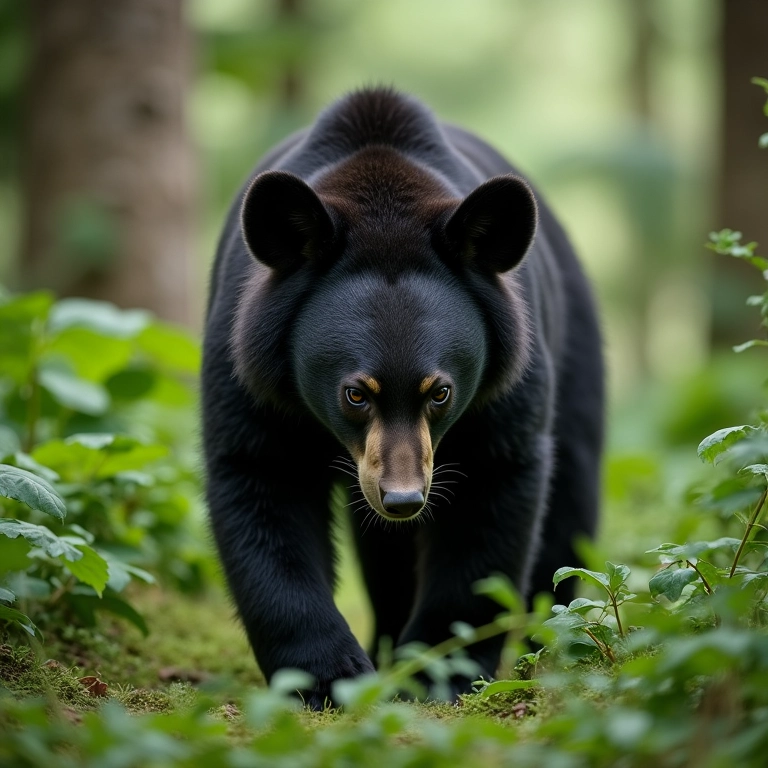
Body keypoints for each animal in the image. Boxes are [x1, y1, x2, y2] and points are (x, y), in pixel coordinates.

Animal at [202, 87, 604, 709]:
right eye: (354, 393)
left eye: (441, 391)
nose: (403, 499)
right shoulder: (248, 372)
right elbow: (260, 480)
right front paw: (326, 676)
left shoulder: (508, 395)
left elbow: (492, 497)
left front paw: (438, 671)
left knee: (571, 505)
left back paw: (553, 644)